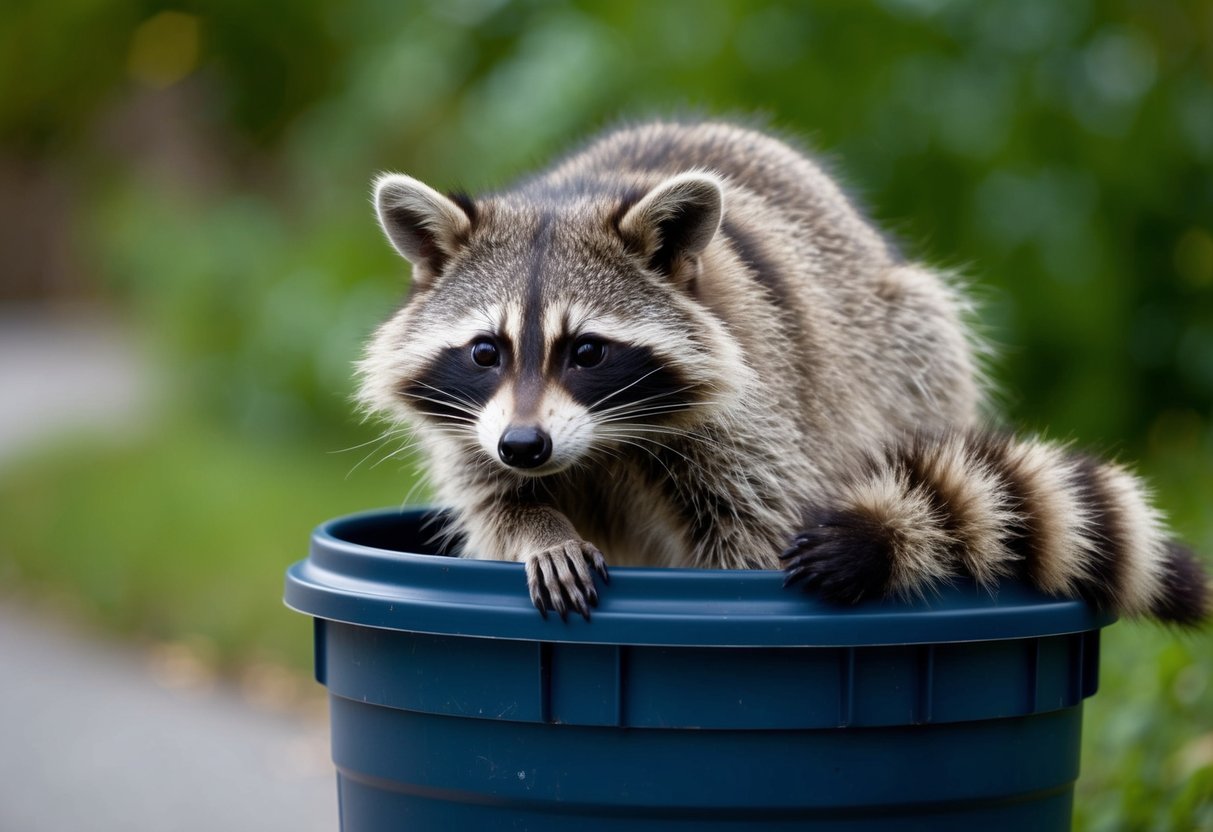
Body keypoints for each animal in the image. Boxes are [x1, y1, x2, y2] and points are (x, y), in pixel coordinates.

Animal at [358, 120, 1209, 625]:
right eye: (485, 351)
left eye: (587, 352)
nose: (526, 447)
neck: (599, 440)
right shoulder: (476, 423)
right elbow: (494, 503)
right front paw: (539, 531)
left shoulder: (750, 410)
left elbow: (754, 528)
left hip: (908, 350)